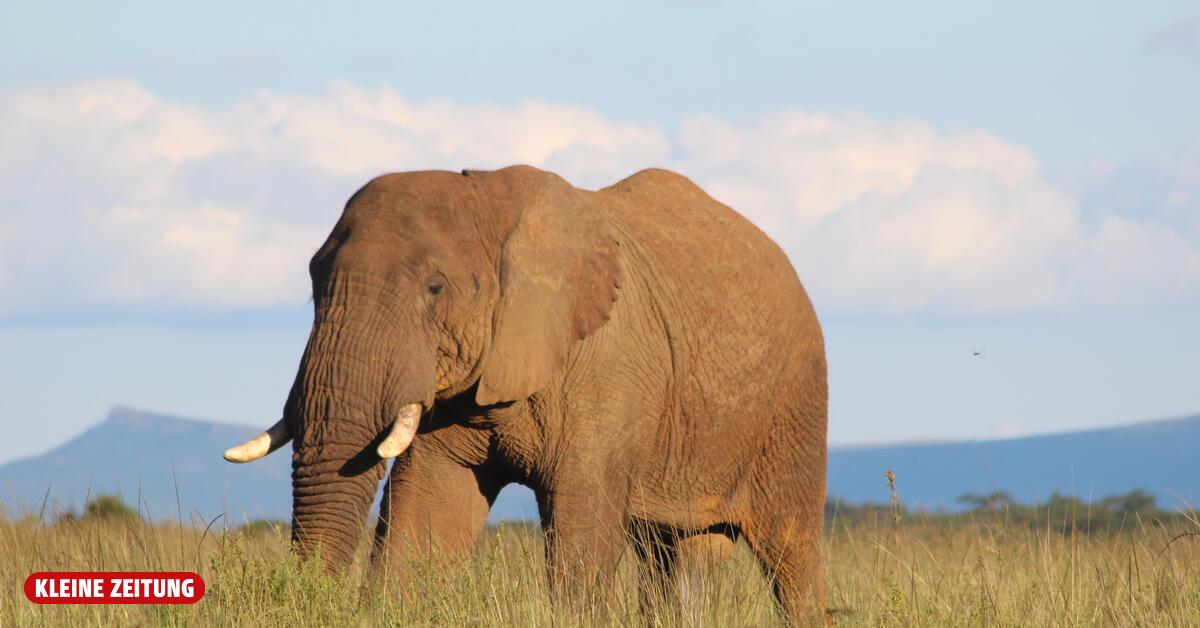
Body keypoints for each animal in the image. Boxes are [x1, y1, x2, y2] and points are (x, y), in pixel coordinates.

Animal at [223, 165, 828, 620]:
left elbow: (582, 532)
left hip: (796, 400)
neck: (488, 200)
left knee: (792, 554)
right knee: (678, 553)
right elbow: (427, 512)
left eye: (435, 289)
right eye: (312, 279)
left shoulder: (607, 371)